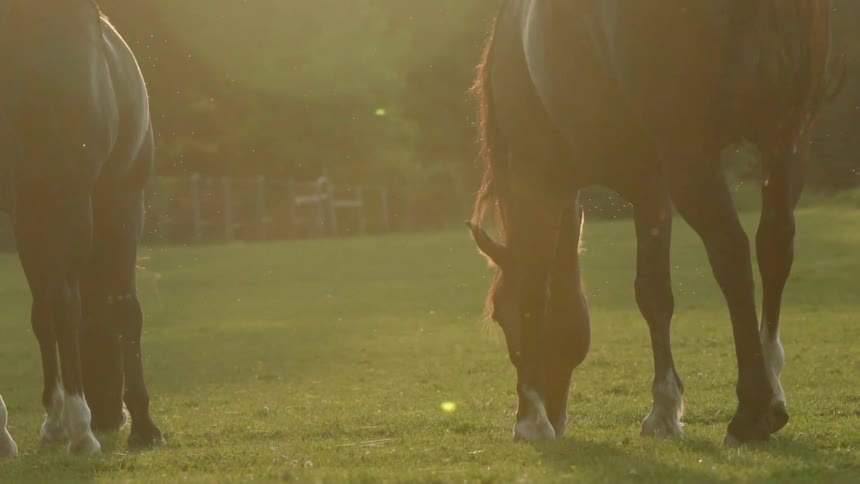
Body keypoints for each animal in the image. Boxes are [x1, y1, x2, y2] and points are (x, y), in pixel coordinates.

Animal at [0, 0, 162, 456]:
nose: (110, 414)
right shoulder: (121, 195)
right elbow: (124, 308)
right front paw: (144, 425)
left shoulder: (31, 215)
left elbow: (40, 313)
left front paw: (52, 420)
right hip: (71, 194)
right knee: (68, 303)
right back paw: (81, 430)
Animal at [467, 0, 840, 445]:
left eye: (499, 316)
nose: (556, 418)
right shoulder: (651, 188)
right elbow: (654, 294)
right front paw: (664, 410)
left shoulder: (536, 180)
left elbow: (533, 291)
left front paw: (530, 419)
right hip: (783, 142)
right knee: (775, 247)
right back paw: (772, 387)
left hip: (692, 158)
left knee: (731, 254)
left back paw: (752, 410)